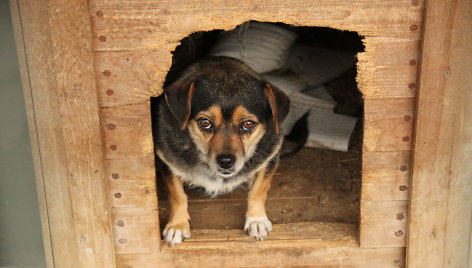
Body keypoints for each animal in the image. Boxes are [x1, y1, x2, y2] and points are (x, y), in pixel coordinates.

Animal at [153, 56, 290, 245]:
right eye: (205, 122)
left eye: (248, 124)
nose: (226, 161)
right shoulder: (166, 161)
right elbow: (177, 195)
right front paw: (177, 226)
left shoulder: (271, 156)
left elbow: (258, 190)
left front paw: (256, 220)